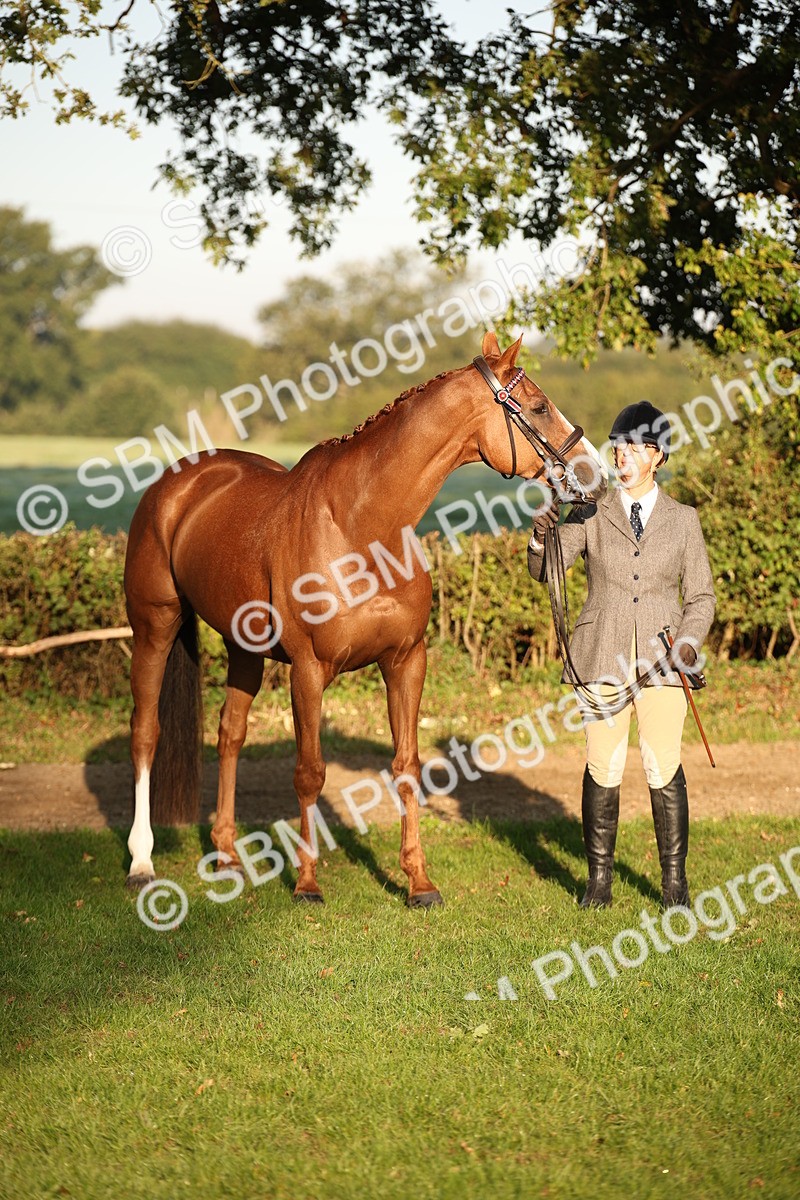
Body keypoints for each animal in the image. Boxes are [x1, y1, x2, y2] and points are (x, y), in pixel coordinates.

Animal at [123, 331, 606, 907]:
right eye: (538, 407)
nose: (597, 475)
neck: (361, 529)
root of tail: (177, 483)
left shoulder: (405, 661)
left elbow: (407, 766)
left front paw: (419, 882)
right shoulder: (309, 671)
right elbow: (310, 773)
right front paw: (307, 883)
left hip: (245, 650)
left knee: (230, 734)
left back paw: (227, 856)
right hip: (154, 628)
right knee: (145, 733)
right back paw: (142, 862)